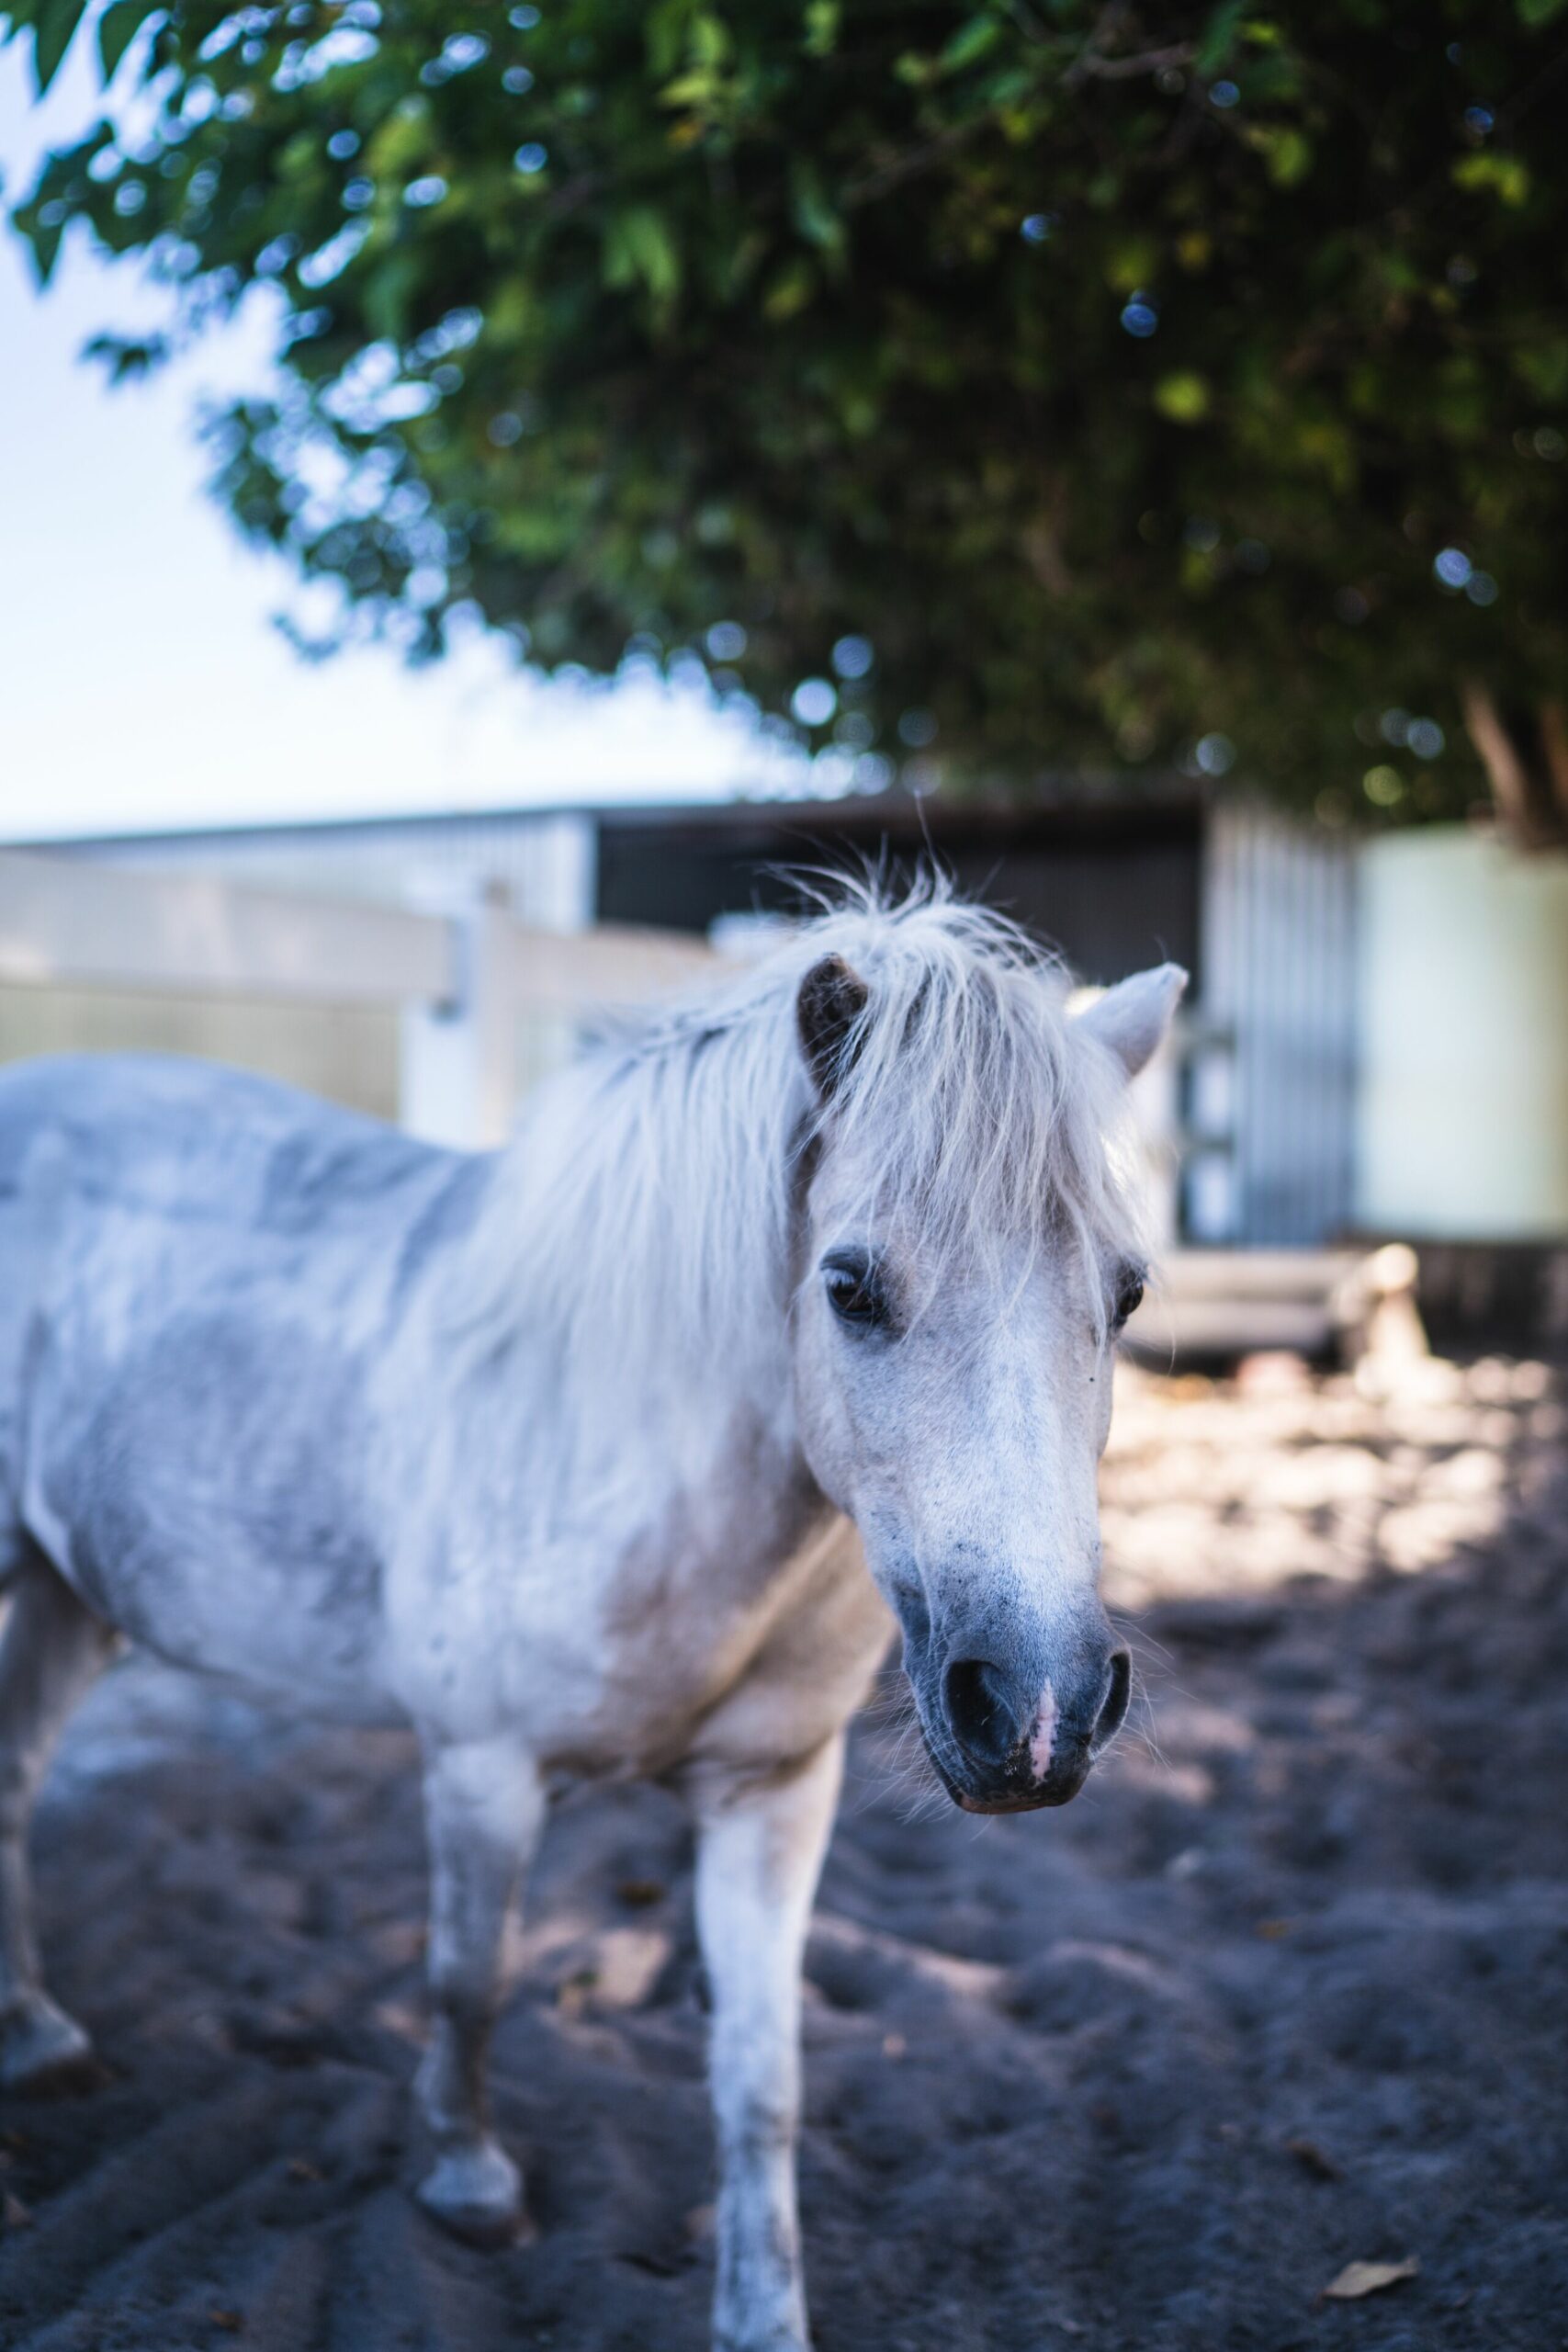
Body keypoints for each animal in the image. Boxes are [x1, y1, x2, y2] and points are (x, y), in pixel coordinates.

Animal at [0, 884, 1175, 2352]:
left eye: (1125, 1294)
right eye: (849, 1285)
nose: (1036, 1708)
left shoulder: (773, 1795)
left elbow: (761, 2077)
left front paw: (762, 2315)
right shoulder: (480, 1770)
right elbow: (469, 1977)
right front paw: (467, 2182)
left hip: (65, 1594)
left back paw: (38, 2036)